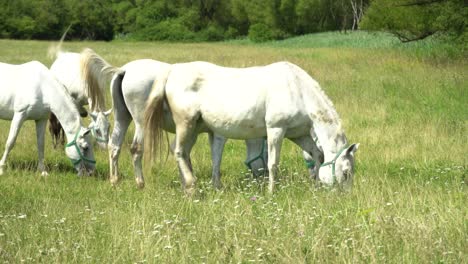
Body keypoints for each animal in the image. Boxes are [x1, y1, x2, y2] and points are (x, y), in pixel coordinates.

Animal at [145, 62, 358, 194]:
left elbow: (317, 155)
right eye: (347, 172)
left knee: (184, 152)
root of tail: (170, 74)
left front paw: (315, 185)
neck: (299, 91)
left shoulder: (299, 134)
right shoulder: (275, 130)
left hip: (194, 128)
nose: (346, 196)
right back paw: (191, 187)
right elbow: (273, 164)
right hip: (185, 123)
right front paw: (272, 191)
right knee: (179, 152)